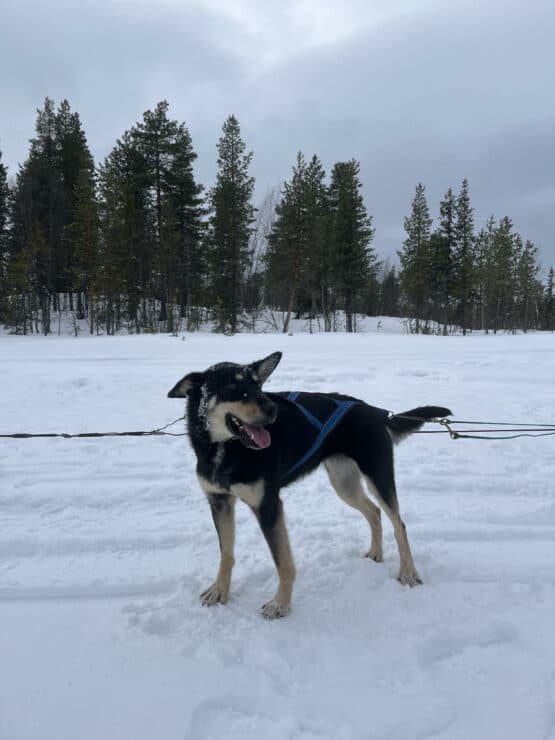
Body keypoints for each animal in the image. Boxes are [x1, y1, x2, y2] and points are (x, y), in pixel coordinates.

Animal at [169, 352, 452, 620]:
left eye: (258, 385)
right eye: (233, 386)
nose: (273, 408)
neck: (224, 450)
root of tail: (372, 410)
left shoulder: (269, 505)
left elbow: (283, 563)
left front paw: (280, 605)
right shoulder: (219, 502)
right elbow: (226, 553)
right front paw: (220, 590)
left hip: (377, 477)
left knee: (399, 524)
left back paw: (408, 573)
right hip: (344, 485)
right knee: (374, 512)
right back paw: (375, 553)